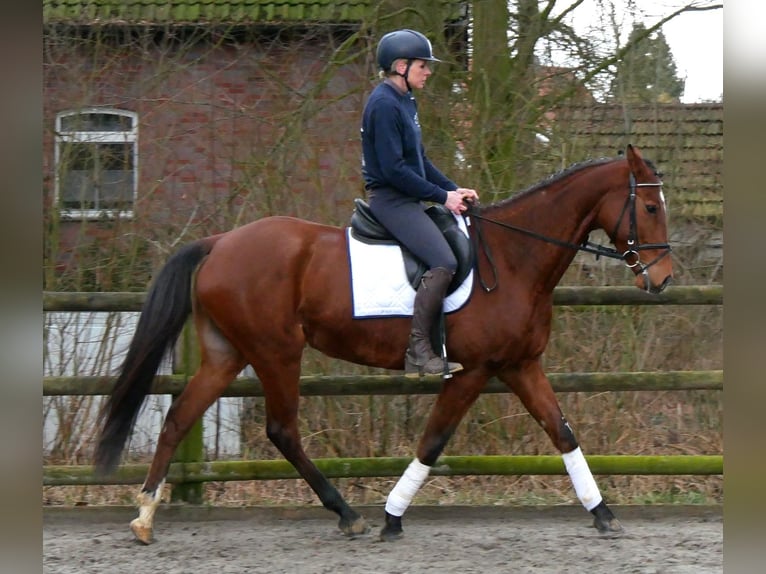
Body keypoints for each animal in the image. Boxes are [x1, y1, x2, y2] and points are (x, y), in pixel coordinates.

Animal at [94, 144, 672, 544]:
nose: (663, 278)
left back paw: (145, 517)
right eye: (648, 206)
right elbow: (433, 442)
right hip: (277, 351)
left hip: (227, 354)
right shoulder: (472, 370)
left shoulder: (519, 364)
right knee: (282, 430)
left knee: (179, 417)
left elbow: (562, 432)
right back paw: (347, 514)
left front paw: (603, 513)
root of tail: (218, 244)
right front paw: (392, 518)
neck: (513, 258)